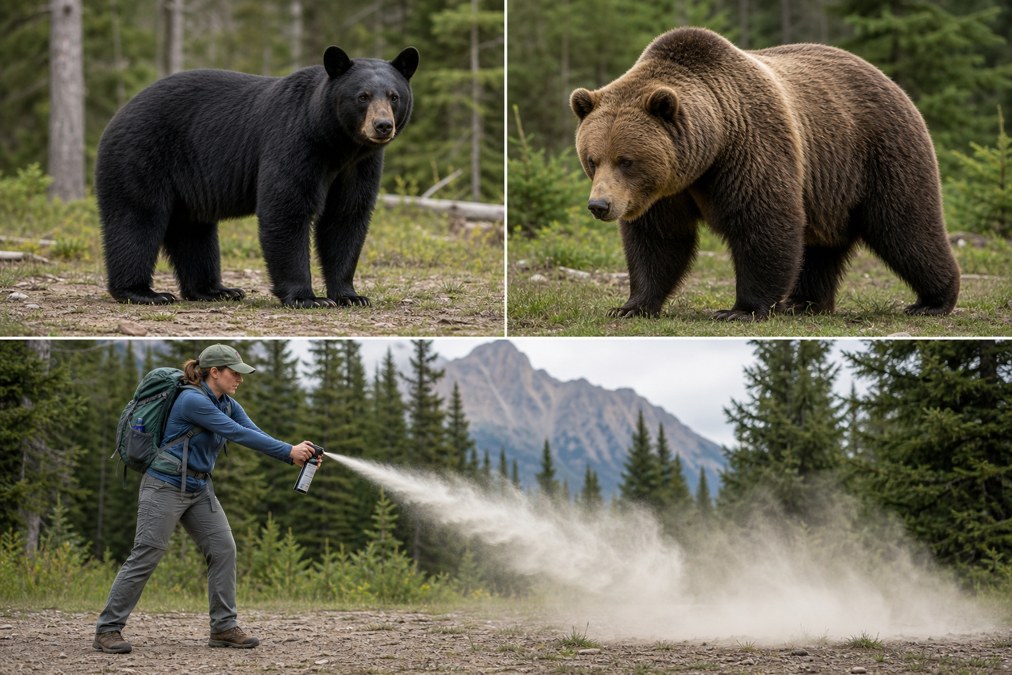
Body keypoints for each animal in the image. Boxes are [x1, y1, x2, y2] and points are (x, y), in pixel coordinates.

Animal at [95, 46, 419, 307]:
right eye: (363, 96)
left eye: (394, 96)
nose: (382, 125)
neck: (337, 144)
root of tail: (118, 115)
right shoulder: (295, 142)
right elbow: (286, 208)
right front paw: (307, 298)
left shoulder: (360, 165)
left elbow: (346, 217)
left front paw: (350, 295)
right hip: (141, 155)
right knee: (137, 218)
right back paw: (143, 292)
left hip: (186, 184)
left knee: (193, 231)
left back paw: (215, 290)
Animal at [569, 27, 959, 320]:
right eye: (592, 159)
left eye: (626, 160)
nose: (600, 205)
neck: (709, 149)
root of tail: (890, 81)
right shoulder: (665, 192)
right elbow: (658, 240)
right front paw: (630, 306)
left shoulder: (750, 148)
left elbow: (763, 222)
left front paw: (740, 310)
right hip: (829, 186)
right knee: (821, 245)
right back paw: (804, 303)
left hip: (879, 153)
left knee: (906, 227)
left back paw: (933, 301)